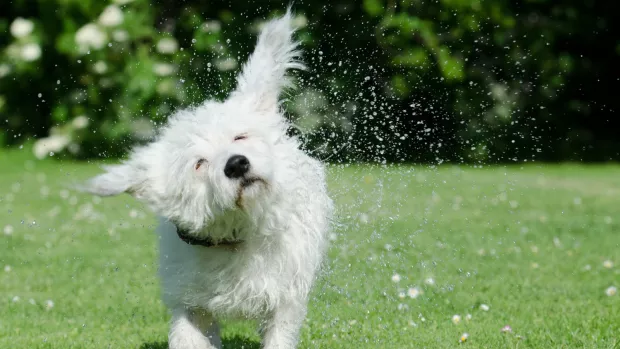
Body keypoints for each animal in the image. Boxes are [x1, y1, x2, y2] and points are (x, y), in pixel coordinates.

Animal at [83, 10, 334, 348]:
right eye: (199, 164)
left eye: (240, 136)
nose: (237, 164)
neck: (236, 237)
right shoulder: (190, 302)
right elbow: (187, 335)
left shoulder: (284, 298)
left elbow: (279, 334)